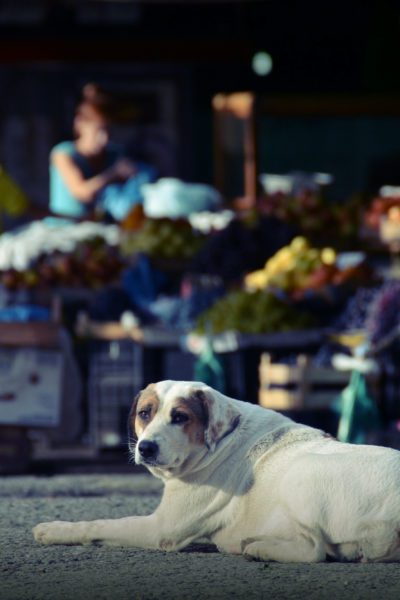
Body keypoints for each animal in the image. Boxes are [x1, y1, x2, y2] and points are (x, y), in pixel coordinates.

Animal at [32, 380, 400, 564]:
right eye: (144, 413)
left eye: (180, 417)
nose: (145, 447)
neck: (221, 441)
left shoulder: (161, 528)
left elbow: (98, 524)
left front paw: (54, 529)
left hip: (302, 473)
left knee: (315, 551)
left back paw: (258, 548)